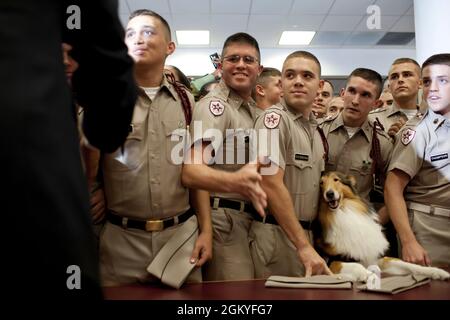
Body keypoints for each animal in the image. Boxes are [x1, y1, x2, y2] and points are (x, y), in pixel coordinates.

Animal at [318, 172, 448, 282]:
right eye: (321, 183)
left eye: (336, 179)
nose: (329, 194)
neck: (344, 211)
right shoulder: (332, 262)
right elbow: (357, 265)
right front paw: (370, 276)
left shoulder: (376, 258)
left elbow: (409, 265)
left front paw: (437, 271)